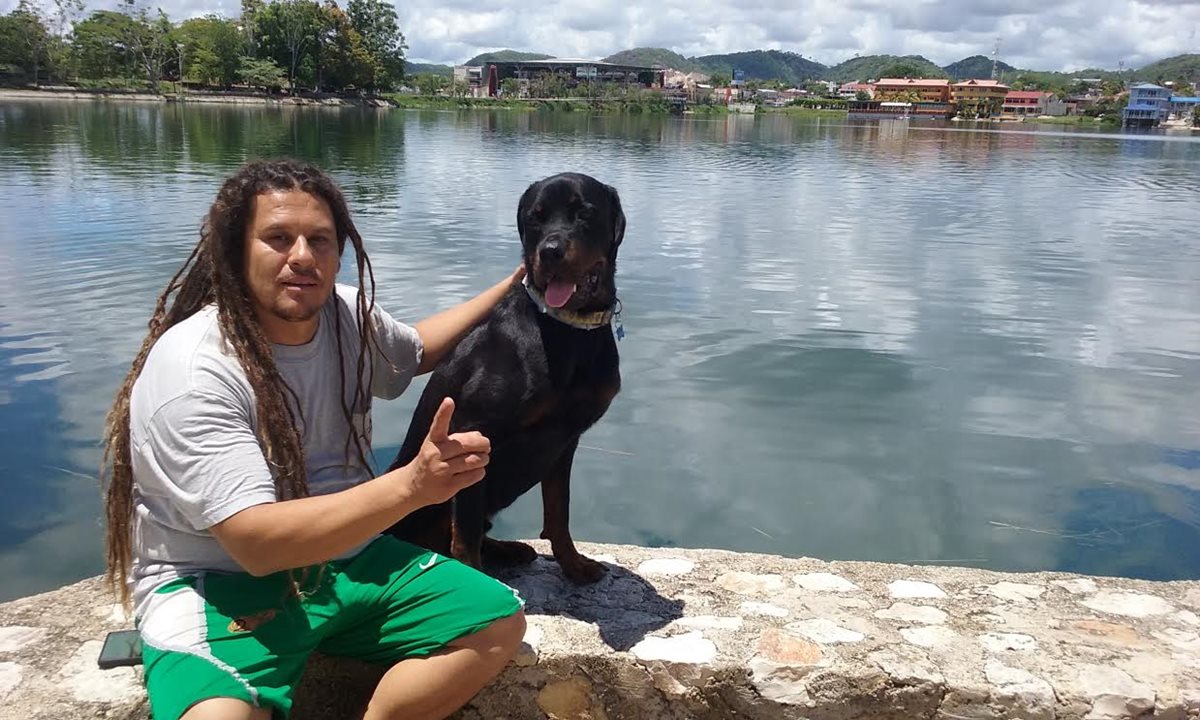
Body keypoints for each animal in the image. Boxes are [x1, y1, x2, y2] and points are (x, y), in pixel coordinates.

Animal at [386, 174, 628, 585]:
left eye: (584, 212)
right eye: (535, 217)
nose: (550, 251)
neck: (567, 330)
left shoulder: (565, 440)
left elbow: (558, 511)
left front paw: (574, 566)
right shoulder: (471, 432)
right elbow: (465, 535)